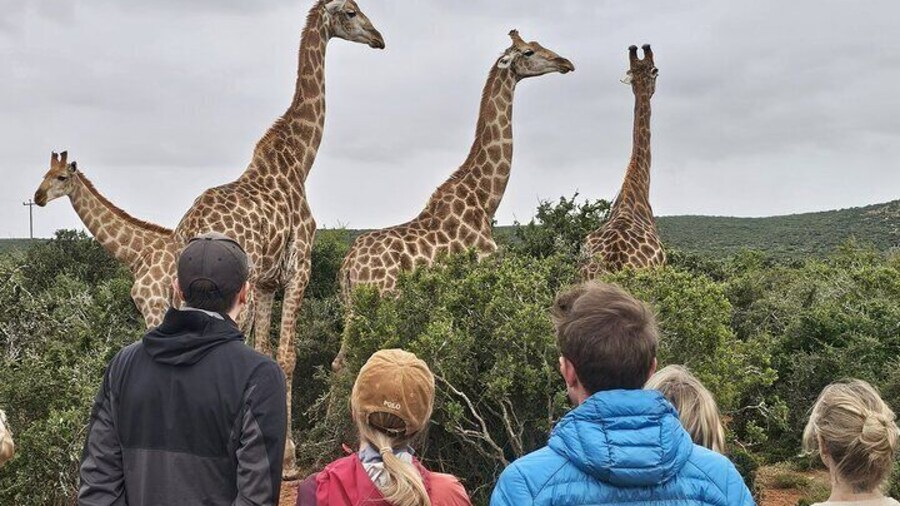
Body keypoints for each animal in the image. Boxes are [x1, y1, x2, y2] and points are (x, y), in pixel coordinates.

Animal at [167, 0, 383, 476]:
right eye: (351, 11)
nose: (379, 39)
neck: (299, 160)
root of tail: (188, 231)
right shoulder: (299, 266)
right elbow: (286, 356)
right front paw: (286, 458)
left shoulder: (266, 282)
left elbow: (264, 352)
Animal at [334, 30, 574, 369]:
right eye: (528, 52)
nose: (565, 63)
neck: (484, 198)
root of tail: (348, 266)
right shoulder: (484, 276)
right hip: (380, 301)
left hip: (351, 306)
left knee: (339, 363)